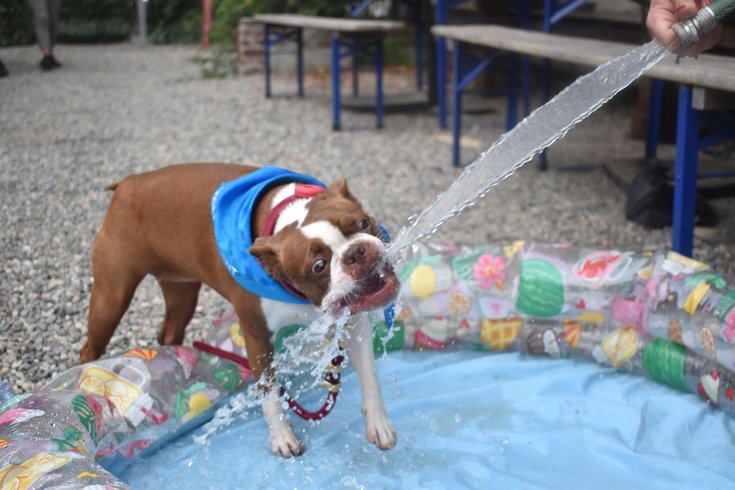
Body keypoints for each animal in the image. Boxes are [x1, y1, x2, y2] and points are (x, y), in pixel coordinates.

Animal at [80, 164, 400, 456]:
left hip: (181, 291)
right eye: (318, 266)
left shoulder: (354, 320)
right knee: (91, 346)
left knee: (169, 331)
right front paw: (282, 438)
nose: (356, 252)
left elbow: (369, 375)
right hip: (112, 297)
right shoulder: (257, 337)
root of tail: (127, 184)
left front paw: (378, 423)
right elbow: (270, 391)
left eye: (363, 224)